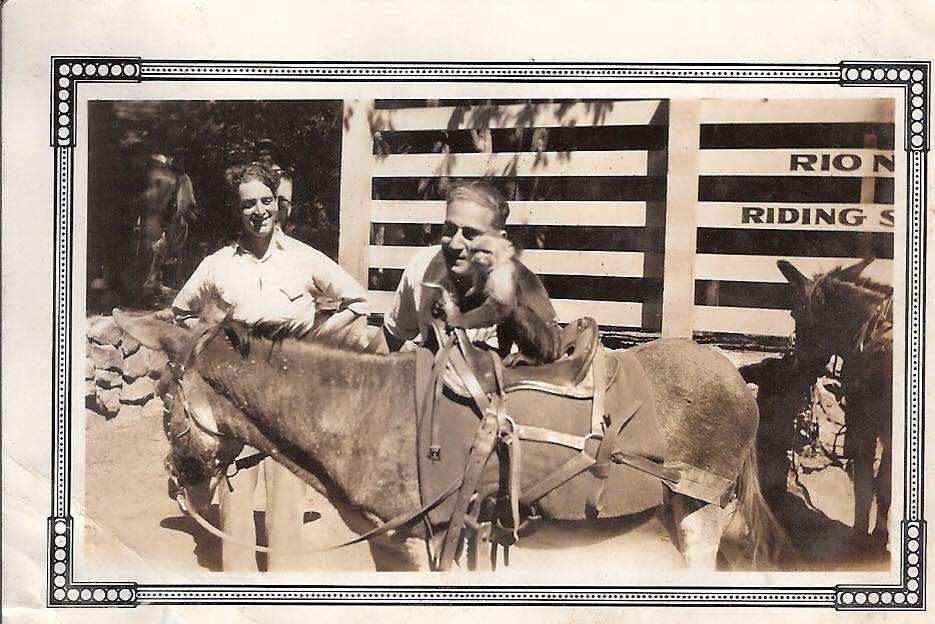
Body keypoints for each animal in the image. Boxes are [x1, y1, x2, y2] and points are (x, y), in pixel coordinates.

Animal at [114, 310, 790, 572]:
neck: (364, 411)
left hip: (702, 511)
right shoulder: (390, 546)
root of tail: (736, 375)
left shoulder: (426, 543)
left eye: (164, 401)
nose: (177, 484)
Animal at [777, 257, 893, 549]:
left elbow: (868, 480)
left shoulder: (866, 422)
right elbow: (880, 481)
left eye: (795, 313)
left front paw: (864, 535)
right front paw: (876, 536)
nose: (797, 368)